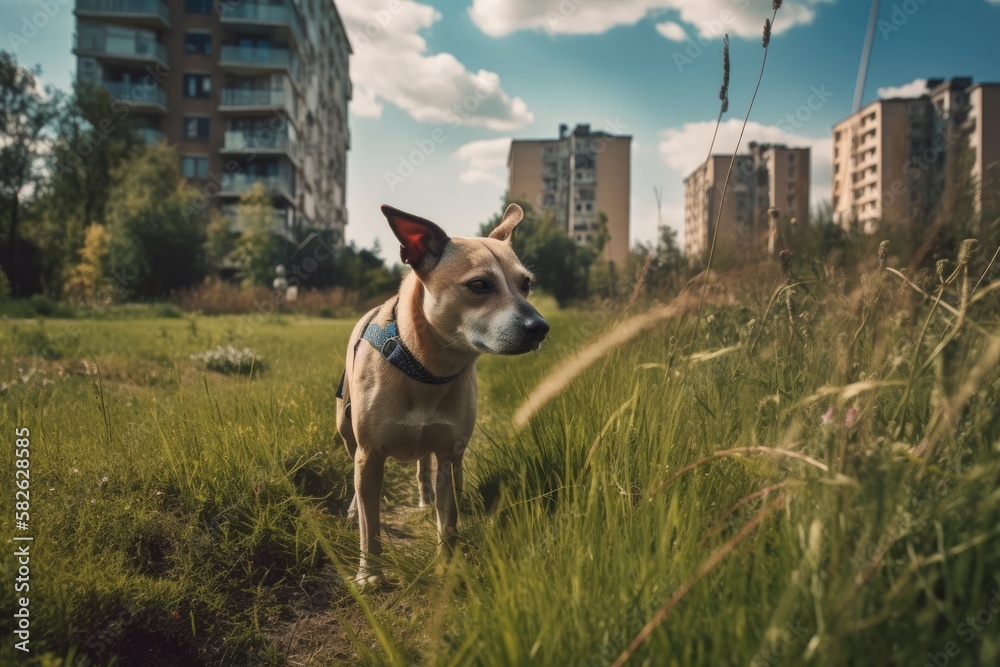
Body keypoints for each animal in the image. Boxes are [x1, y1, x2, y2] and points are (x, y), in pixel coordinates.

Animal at [340, 202, 552, 584]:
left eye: (526, 284)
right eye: (479, 284)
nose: (540, 328)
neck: (425, 369)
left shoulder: (448, 452)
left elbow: (448, 520)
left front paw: (448, 564)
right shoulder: (369, 455)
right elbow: (370, 523)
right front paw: (370, 573)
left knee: (431, 466)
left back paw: (429, 496)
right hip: (346, 428)